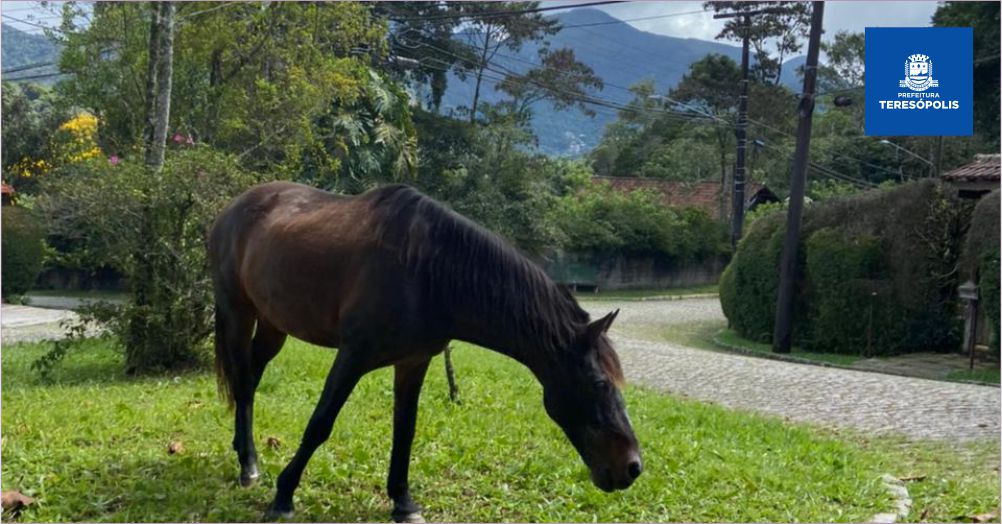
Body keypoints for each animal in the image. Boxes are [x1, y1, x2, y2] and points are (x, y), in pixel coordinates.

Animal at [209, 182, 641, 520]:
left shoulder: (413, 362)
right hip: (237, 313)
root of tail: (233, 207)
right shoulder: (352, 356)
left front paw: (403, 501)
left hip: (273, 324)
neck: (427, 270)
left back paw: (245, 455)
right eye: (599, 384)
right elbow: (320, 424)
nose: (632, 467)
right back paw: (248, 466)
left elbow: (406, 429)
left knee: (251, 380)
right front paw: (283, 496)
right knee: (243, 384)